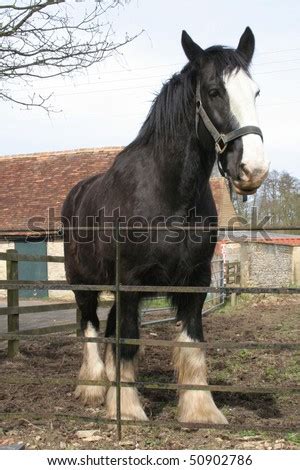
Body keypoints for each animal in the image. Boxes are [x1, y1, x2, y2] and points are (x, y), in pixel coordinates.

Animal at [63, 26, 270, 422]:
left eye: (255, 92)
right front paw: (126, 409)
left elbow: (192, 344)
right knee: (91, 327)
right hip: (83, 284)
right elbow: (126, 341)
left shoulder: (196, 282)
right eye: (214, 91)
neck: (169, 195)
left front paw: (201, 410)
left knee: (108, 327)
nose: (253, 170)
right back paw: (94, 388)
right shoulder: (129, 282)